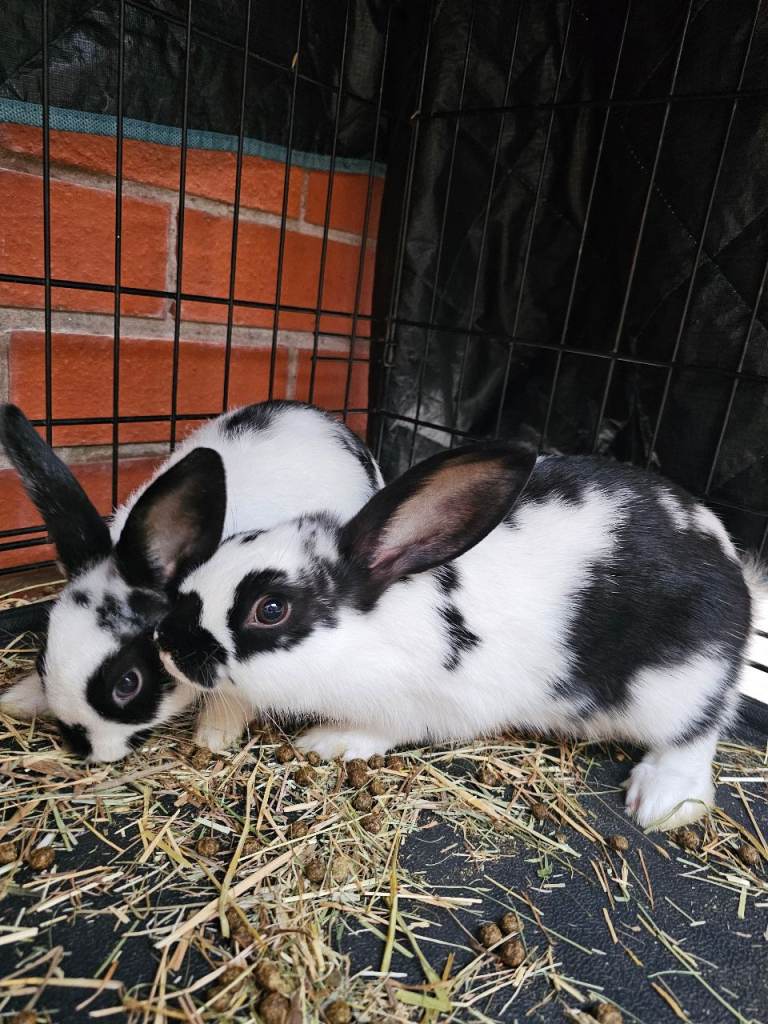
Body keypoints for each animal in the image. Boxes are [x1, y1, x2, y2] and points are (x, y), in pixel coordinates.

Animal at [154, 441, 762, 830]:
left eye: (271, 609)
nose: (167, 643)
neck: (372, 627)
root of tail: (736, 573)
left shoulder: (429, 704)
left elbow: (384, 730)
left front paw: (329, 741)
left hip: (679, 682)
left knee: (696, 735)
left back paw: (660, 800)